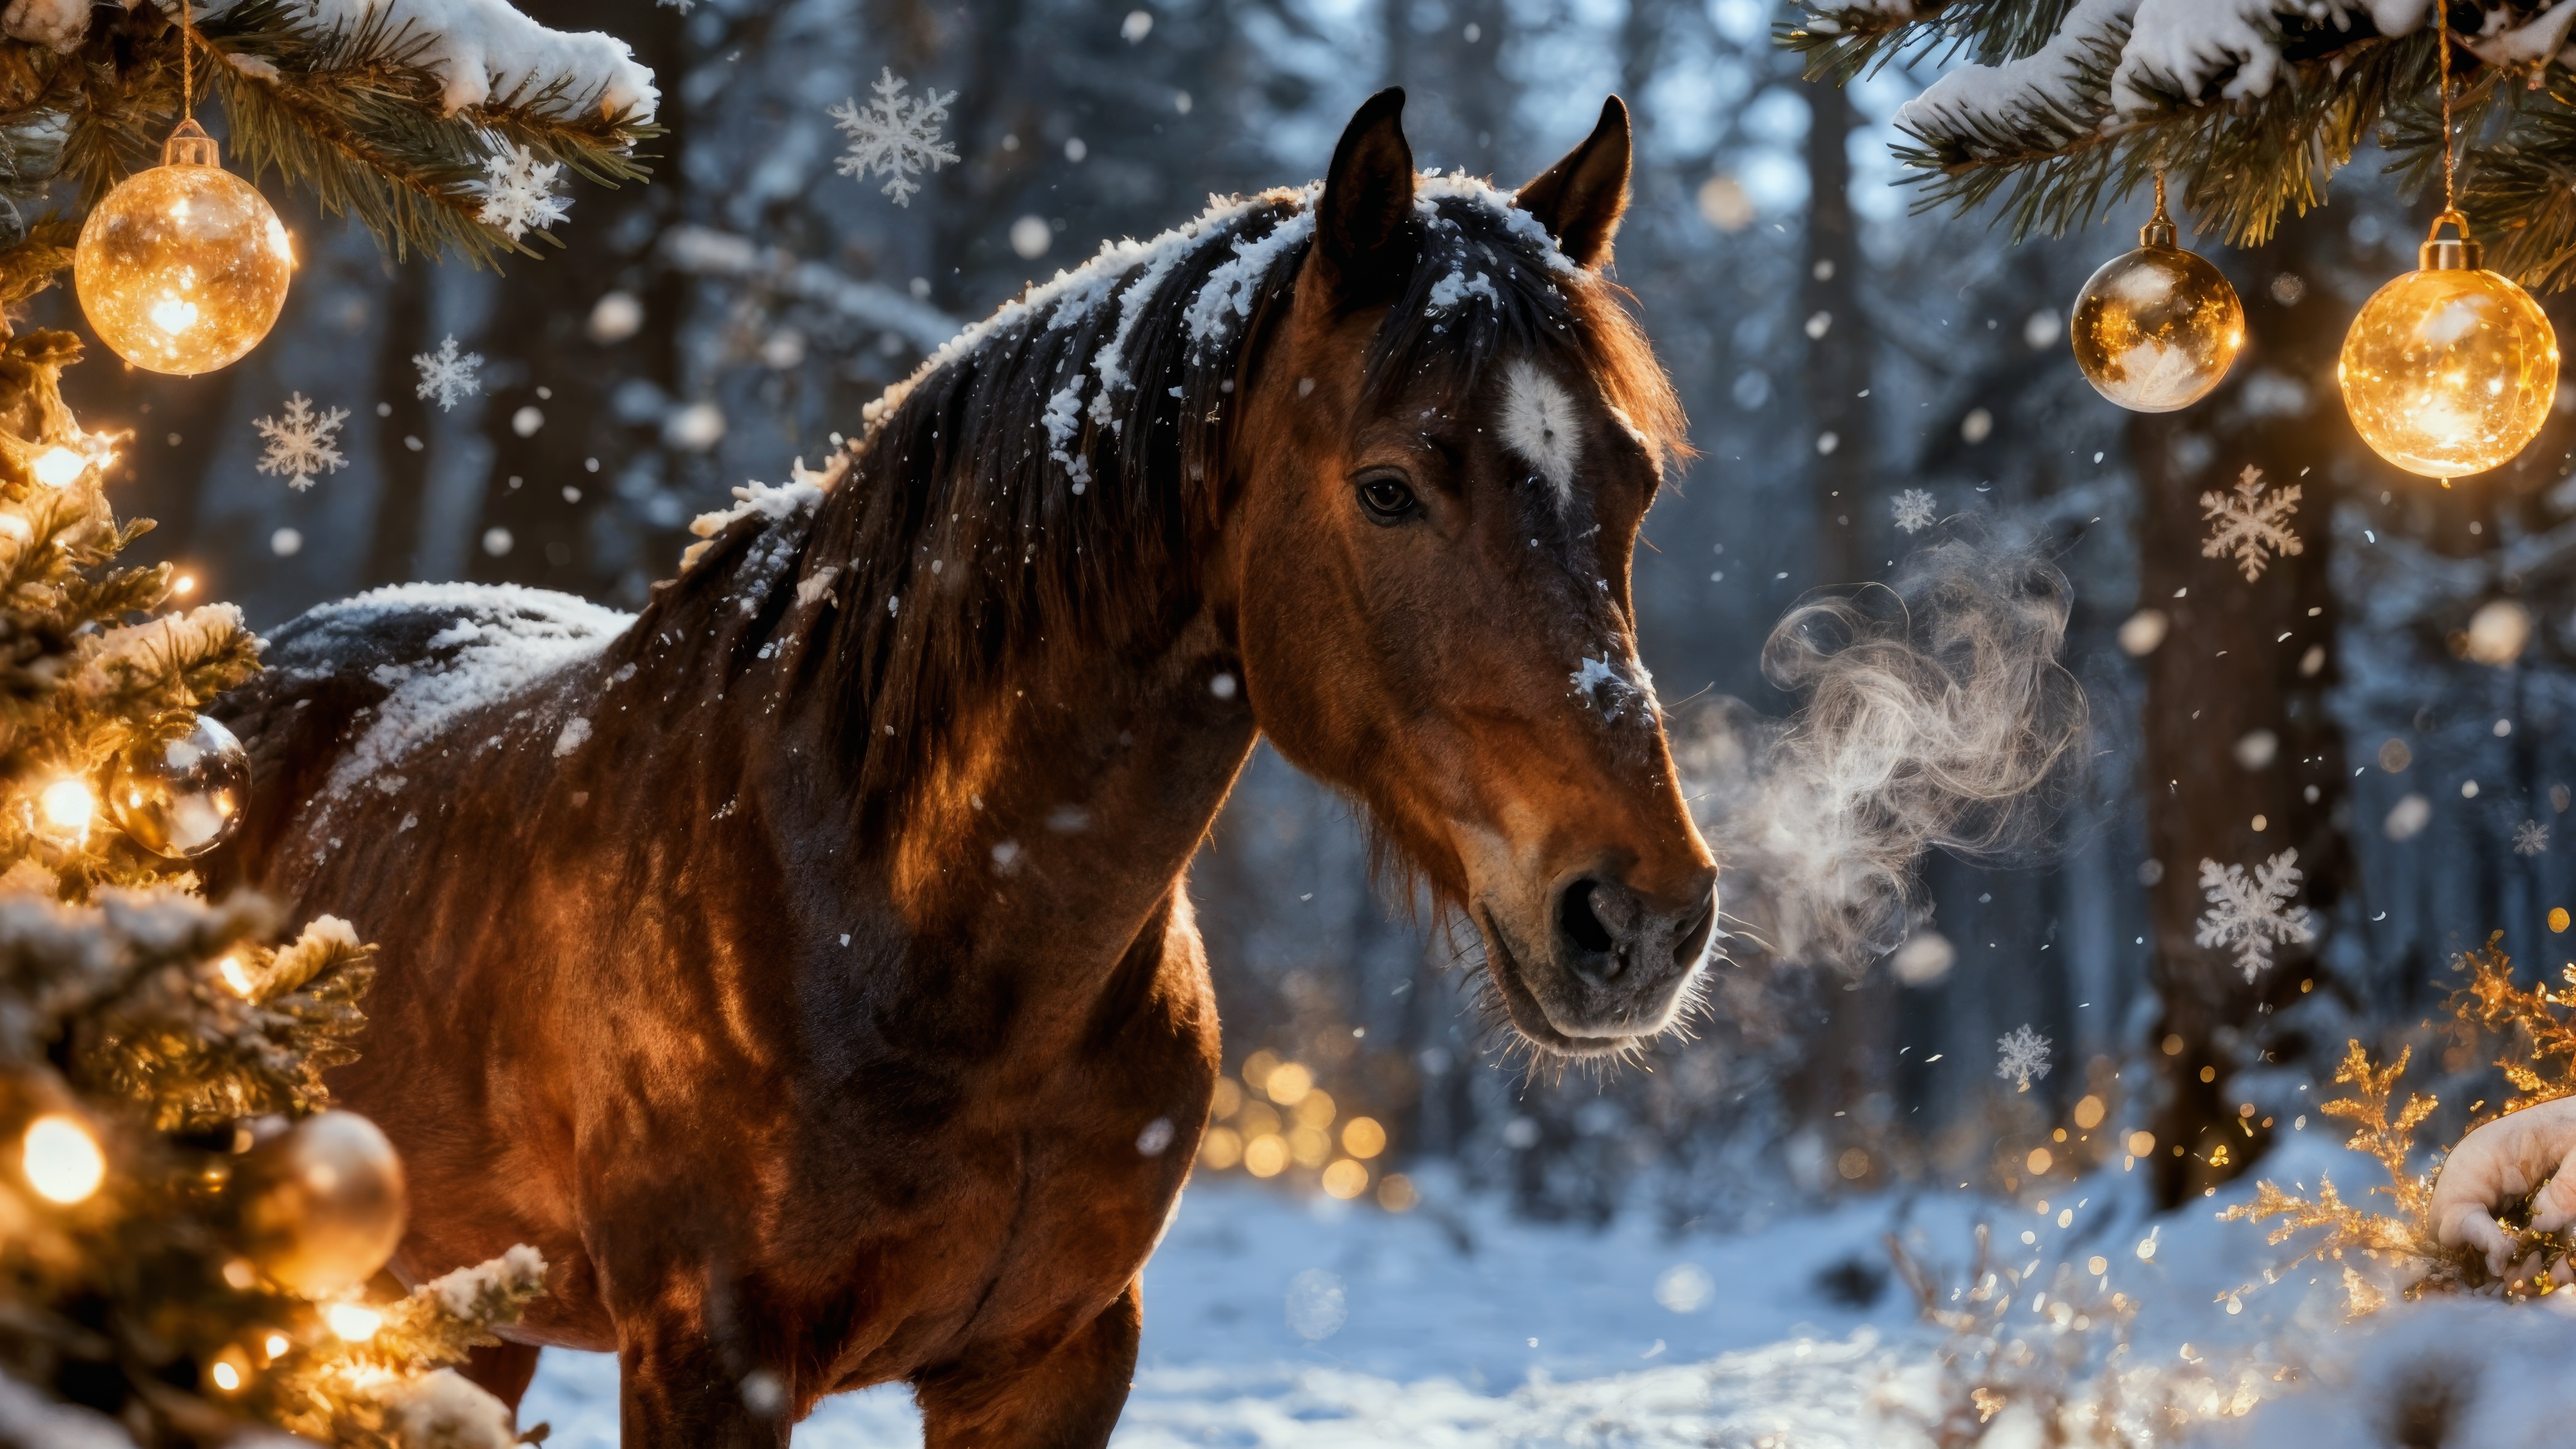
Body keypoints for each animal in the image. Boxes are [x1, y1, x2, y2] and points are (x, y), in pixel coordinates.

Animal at [210, 88, 1716, 1447]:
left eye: (1635, 486)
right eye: (1390, 486)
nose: (1640, 921)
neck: (899, 909)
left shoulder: (1055, 1362)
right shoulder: (705, 1359)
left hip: (471, 1314)